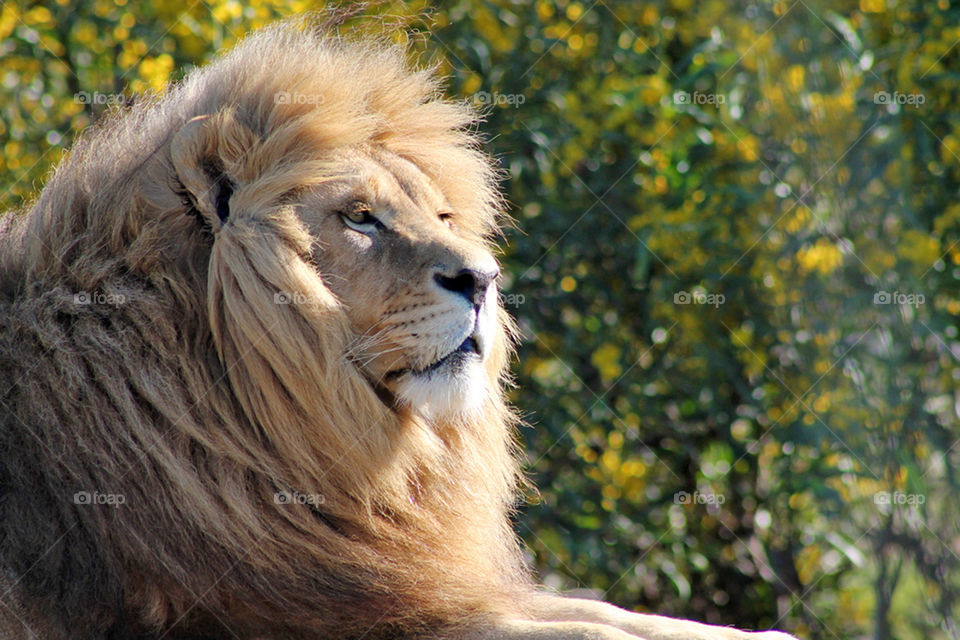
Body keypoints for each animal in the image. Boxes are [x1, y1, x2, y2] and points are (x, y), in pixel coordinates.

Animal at [0, 16, 796, 640]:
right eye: (360, 217)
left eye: (440, 215)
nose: (484, 279)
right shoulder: (310, 612)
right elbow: (581, 628)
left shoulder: (417, 576)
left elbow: (611, 614)